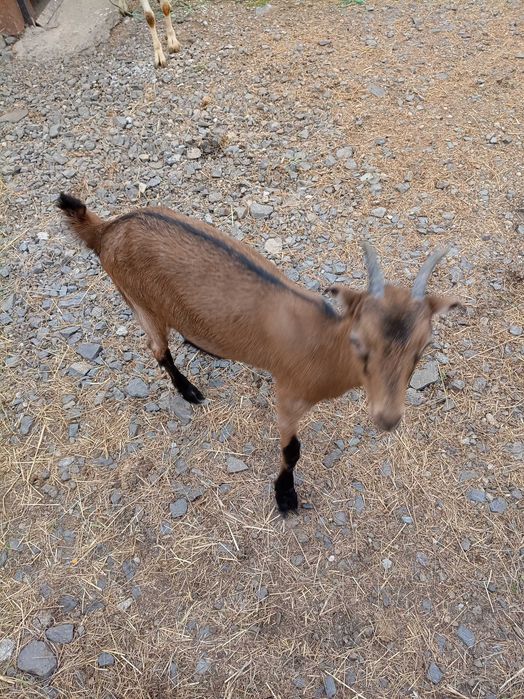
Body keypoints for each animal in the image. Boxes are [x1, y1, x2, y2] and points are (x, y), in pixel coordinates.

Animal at [57, 193, 461, 513]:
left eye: (423, 348)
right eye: (360, 342)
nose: (388, 418)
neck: (323, 343)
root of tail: (106, 230)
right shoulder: (288, 393)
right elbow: (292, 450)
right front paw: (285, 497)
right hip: (139, 301)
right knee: (158, 349)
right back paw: (189, 391)